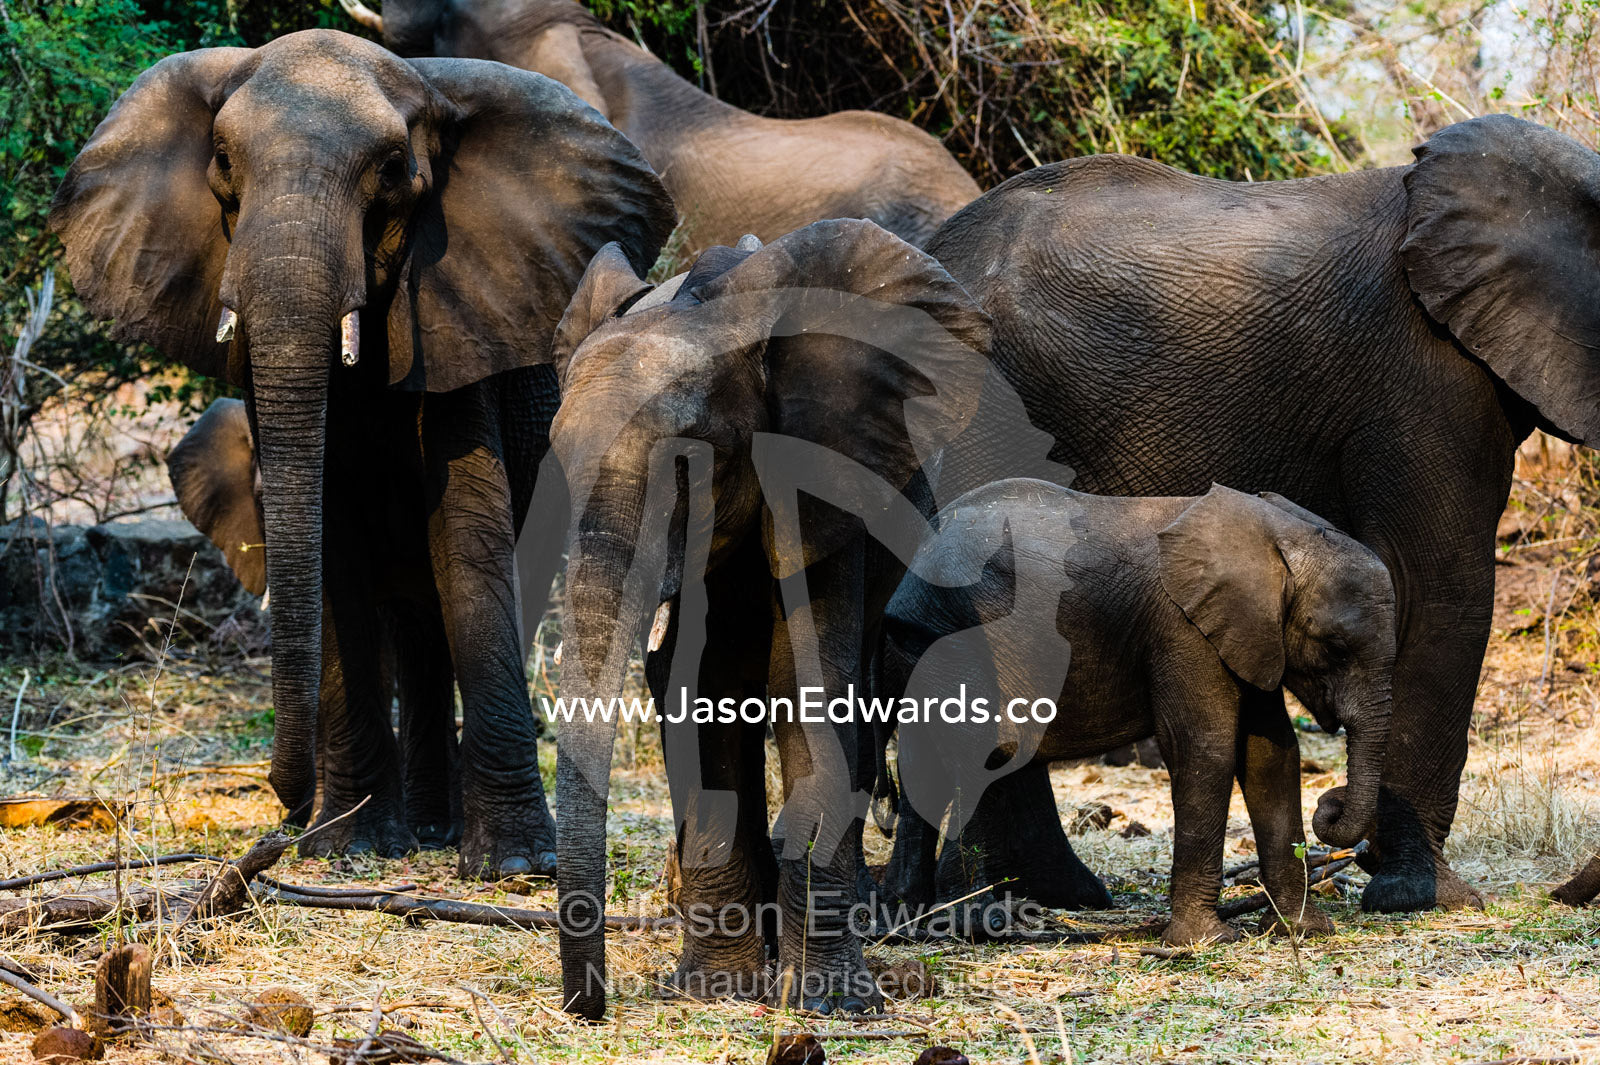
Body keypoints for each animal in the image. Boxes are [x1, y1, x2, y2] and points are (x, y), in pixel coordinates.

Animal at [543, 218, 991, 1019]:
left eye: (689, 467)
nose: (586, 1007)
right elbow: (698, 692)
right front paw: (718, 990)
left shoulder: (824, 482)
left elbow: (811, 684)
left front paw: (833, 1004)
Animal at [879, 481, 1396, 946]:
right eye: (1336, 646)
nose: (1332, 805)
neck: (1277, 533)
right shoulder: (1182, 629)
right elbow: (1206, 749)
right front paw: (1204, 941)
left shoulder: (1250, 634)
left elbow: (1270, 755)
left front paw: (1303, 930)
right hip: (954, 633)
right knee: (979, 757)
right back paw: (971, 924)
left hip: (921, 646)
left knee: (926, 763)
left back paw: (907, 914)